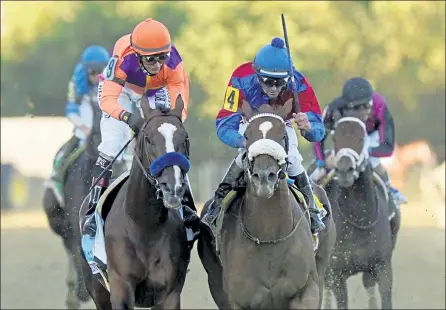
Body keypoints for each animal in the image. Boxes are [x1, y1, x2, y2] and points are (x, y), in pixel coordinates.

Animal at [198, 100, 334, 308]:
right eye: (246, 136)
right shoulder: (238, 300)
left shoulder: (307, 289)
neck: (269, 235)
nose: (264, 177)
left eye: (283, 135)